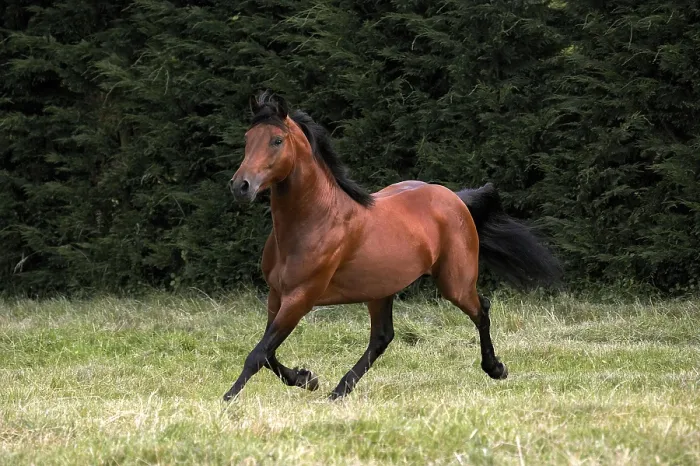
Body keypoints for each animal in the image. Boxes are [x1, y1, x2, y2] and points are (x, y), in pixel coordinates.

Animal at [224, 91, 562, 401]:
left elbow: (257, 354)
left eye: (277, 140)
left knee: (482, 309)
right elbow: (268, 353)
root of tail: (453, 198)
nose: (241, 186)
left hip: (455, 282)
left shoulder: (301, 297)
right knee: (382, 337)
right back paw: (339, 391)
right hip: (381, 288)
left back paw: (496, 368)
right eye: (248, 138)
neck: (315, 220)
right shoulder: (277, 295)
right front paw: (307, 378)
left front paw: (228, 399)